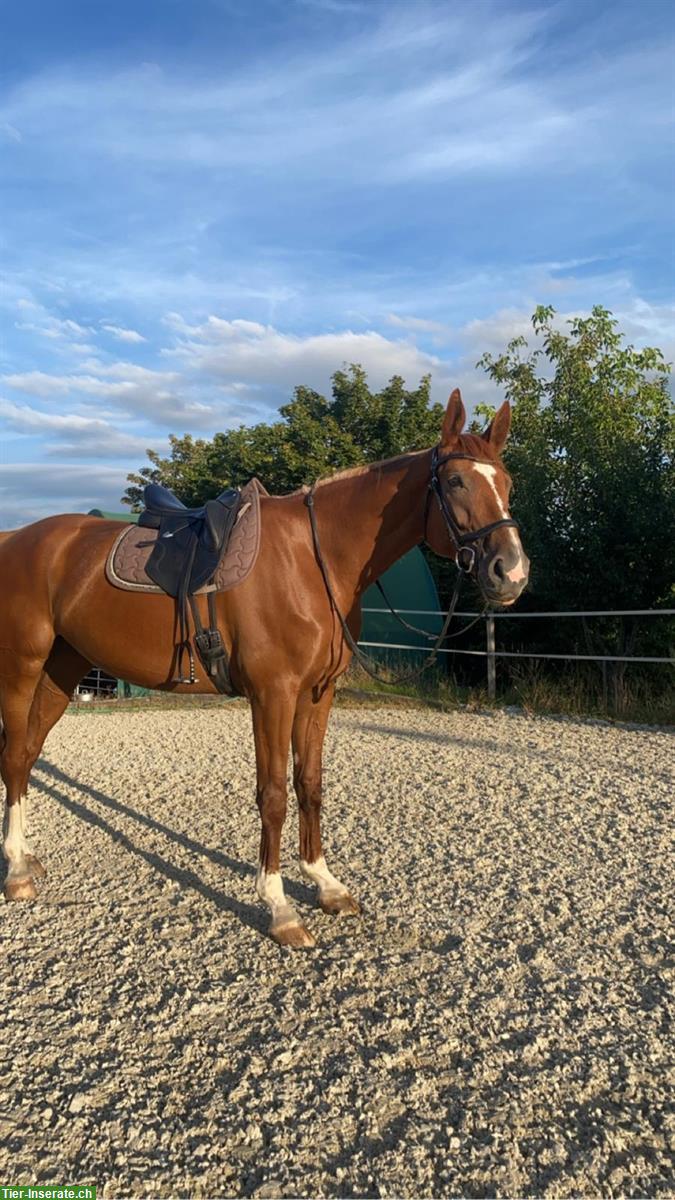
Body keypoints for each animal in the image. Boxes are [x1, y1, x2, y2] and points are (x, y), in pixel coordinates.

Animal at [0, 393, 526, 945]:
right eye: (456, 481)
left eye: (507, 483)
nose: (511, 572)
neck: (314, 559)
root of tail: (14, 539)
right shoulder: (274, 694)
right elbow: (273, 795)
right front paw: (279, 907)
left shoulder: (318, 694)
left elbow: (309, 784)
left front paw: (325, 885)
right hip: (20, 666)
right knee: (13, 756)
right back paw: (15, 871)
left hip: (62, 668)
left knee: (29, 754)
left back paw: (28, 857)